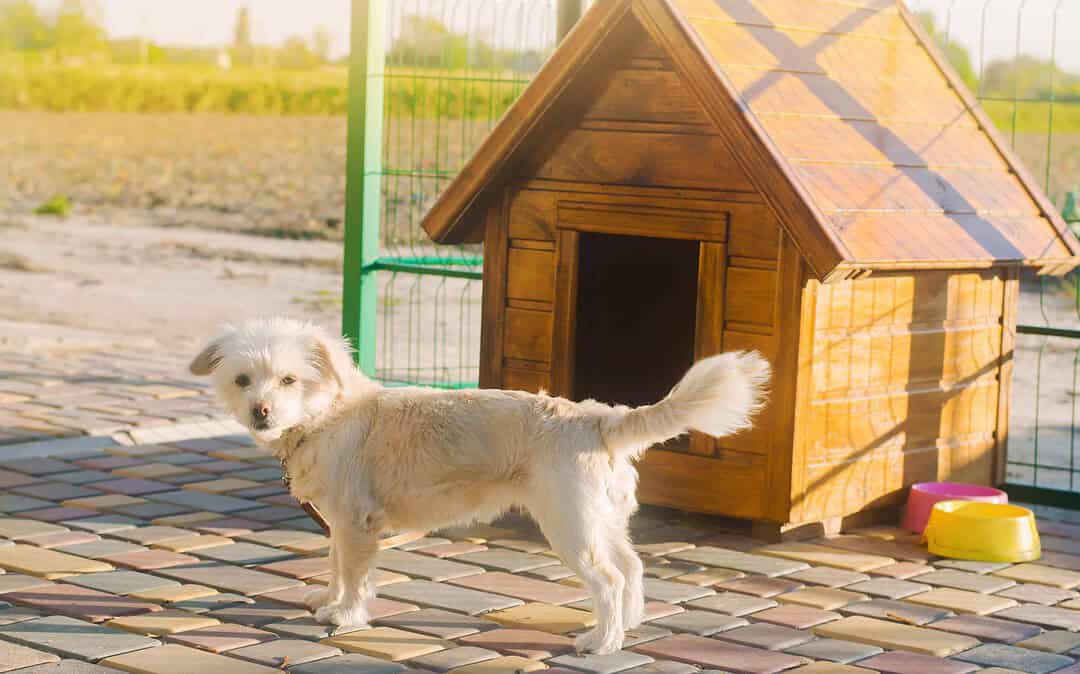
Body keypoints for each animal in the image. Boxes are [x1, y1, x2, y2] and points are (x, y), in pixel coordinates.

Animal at [192, 317, 768, 656]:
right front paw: (329, 601)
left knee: (608, 579)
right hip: (602, 522)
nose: (261, 412)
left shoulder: (356, 526)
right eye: (243, 381)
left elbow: (354, 578)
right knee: (631, 568)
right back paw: (628, 626)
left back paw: (602, 642)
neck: (328, 414)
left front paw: (348, 617)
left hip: (571, 529)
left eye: (289, 380)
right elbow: (335, 567)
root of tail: (597, 418)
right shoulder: (340, 525)